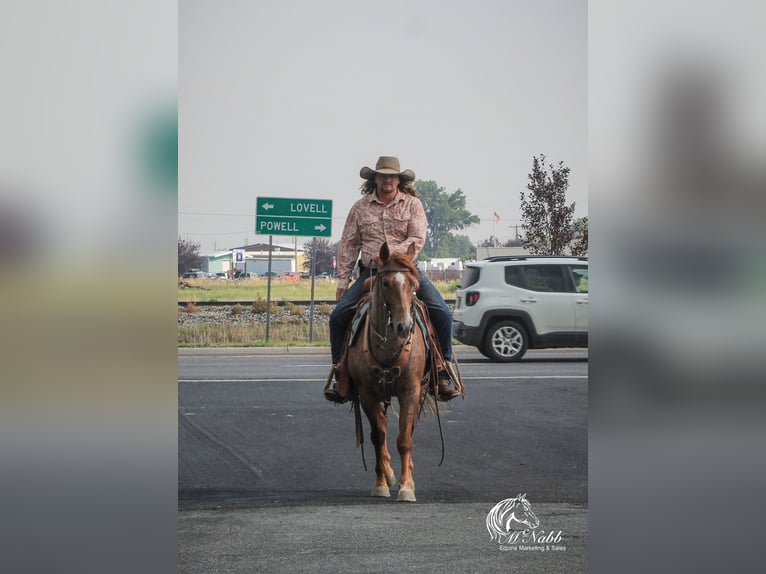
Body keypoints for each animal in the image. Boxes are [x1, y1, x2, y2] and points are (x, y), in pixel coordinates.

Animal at [346, 243, 432, 504]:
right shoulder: (367, 394)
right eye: (385, 283)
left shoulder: (411, 391)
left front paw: (406, 487)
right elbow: (378, 436)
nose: (404, 326)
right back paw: (389, 473)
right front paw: (381, 482)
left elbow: (404, 439)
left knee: (409, 430)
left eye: (413, 283)